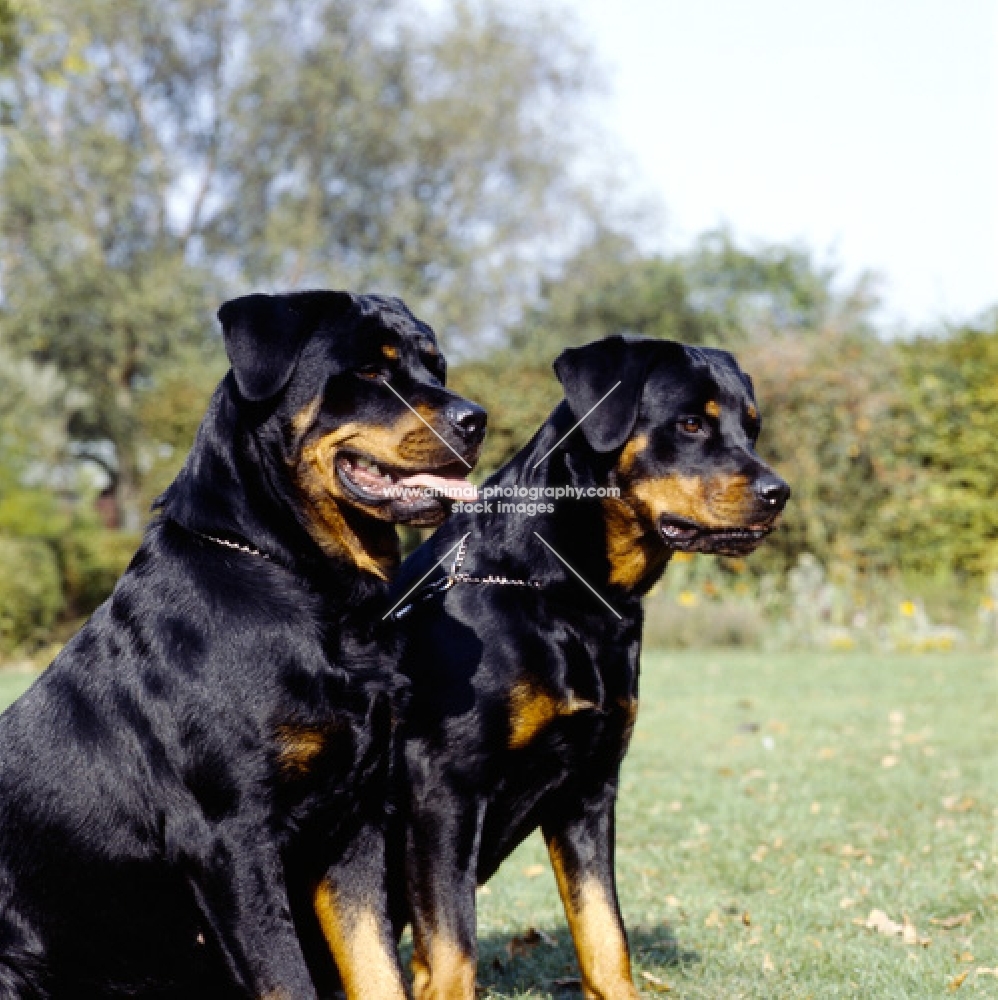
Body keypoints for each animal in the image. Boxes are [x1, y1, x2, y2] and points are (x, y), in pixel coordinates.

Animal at [0, 292, 486, 1000]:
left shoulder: (355, 827)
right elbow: (287, 981)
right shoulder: (233, 840)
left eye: (436, 367)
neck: (320, 593)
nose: (476, 418)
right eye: (371, 372)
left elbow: (376, 969)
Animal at [390, 338, 788, 1000]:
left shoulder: (590, 788)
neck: (571, 597)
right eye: (690, 423)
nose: (779, 492)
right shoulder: (443, 785)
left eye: (751, 428)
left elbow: (605, 937)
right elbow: (451, 956)